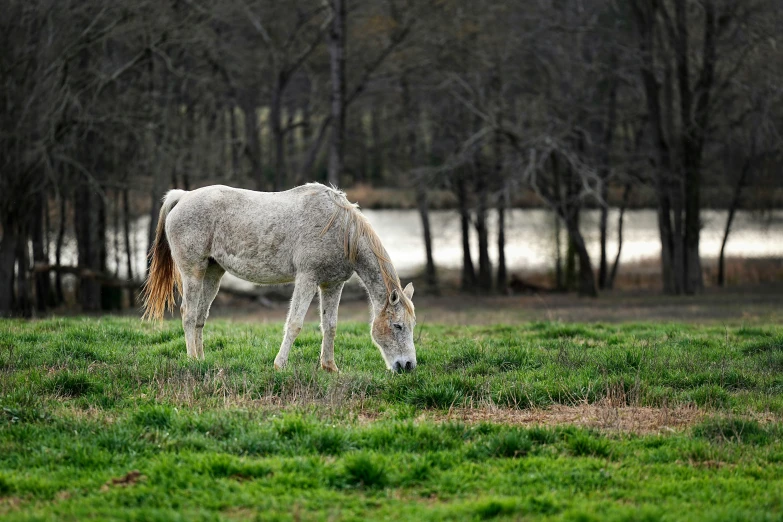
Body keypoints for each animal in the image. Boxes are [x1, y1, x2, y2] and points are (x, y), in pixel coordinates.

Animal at [144, 183, 420, 370]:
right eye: (398, 325)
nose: (408, 366)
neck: (341, 229)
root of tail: (183, 196)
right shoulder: (307, 279)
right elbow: (295, 324)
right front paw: (280, 365)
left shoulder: (332, 285)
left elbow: (330, 325)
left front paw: (330, 368)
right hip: (193, 271)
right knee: (189, 314)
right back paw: (192, 360)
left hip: (212, 273)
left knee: (200, 316)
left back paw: (202, 360)